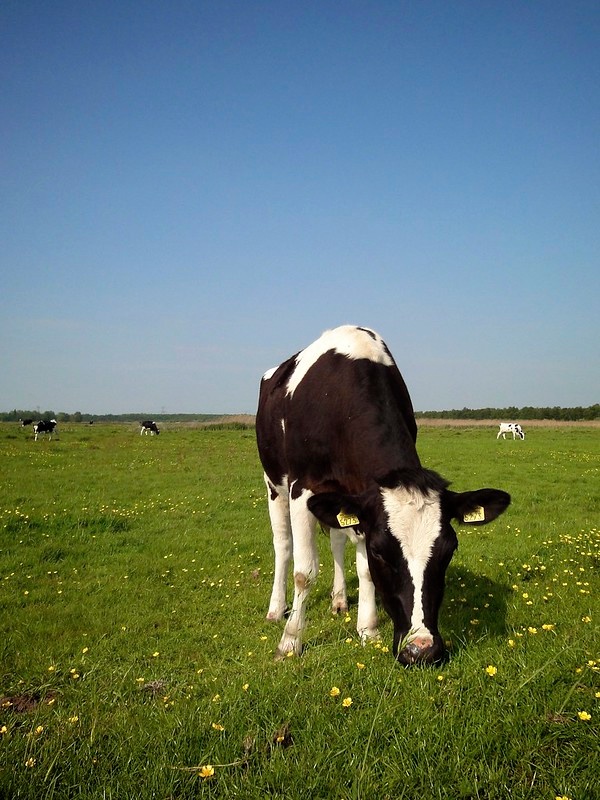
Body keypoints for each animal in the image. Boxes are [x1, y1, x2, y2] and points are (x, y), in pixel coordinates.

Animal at [254, 322, 510, 664]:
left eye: (450, 549)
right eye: (380, 551)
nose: (421, 649)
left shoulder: (362, 501)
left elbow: (363, 570)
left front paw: (368, 629)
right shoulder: (302, 487)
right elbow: (304, 572)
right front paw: (290, 642)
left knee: (337, 541)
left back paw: (339, 600)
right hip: (273, 484)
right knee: (283, 546)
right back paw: (276, 608)